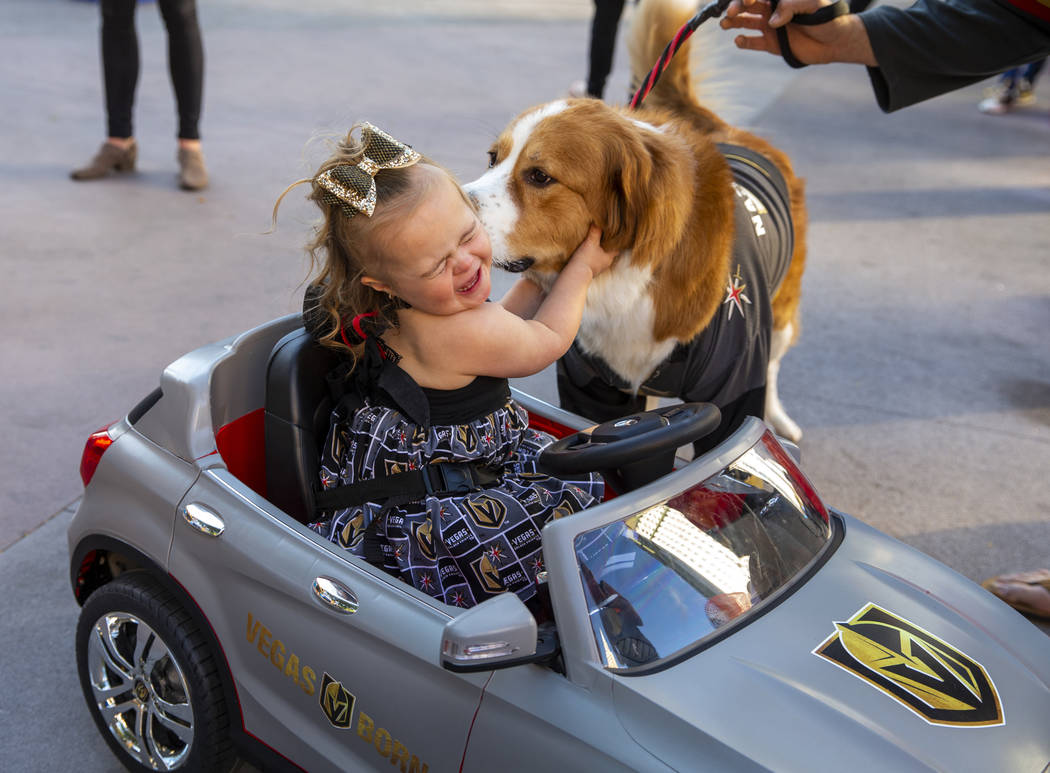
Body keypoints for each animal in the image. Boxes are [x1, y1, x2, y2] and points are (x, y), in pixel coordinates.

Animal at [464, 0, 806, 443]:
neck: (621, 281)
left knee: (776, 365)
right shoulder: (592, 388)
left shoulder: (737, 381)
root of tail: (724, 129)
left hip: (781, 318)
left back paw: (780, 419)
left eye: (539, 176)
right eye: (493, 158)